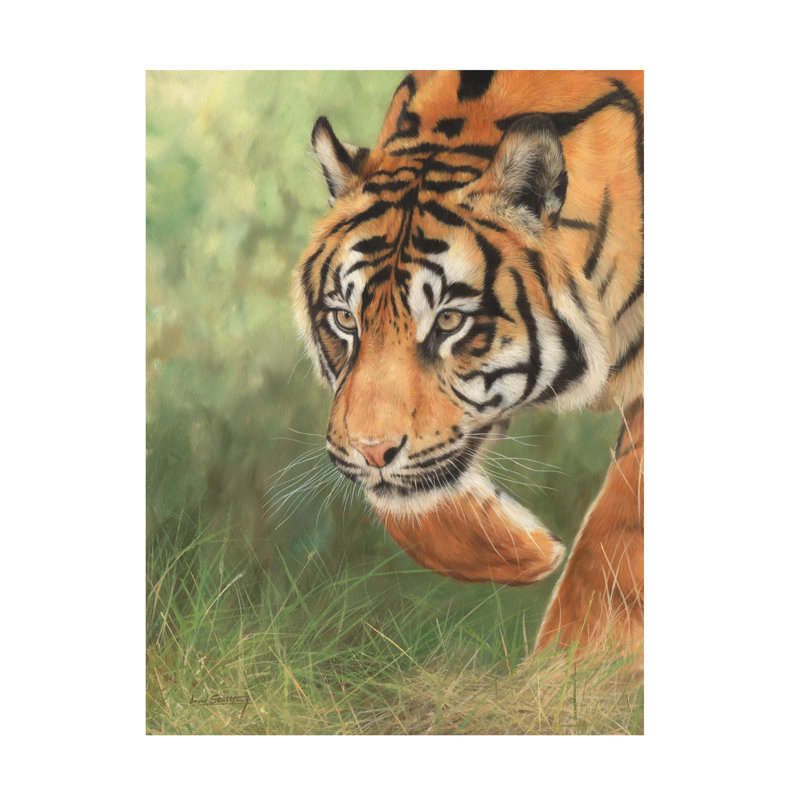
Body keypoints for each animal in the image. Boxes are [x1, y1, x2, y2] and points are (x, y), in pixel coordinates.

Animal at [292, 70, 643, 656]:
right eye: (345, 319)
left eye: (450, 321)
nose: (373, 452)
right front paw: (528, 553)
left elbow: (616, 539)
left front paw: (571, 667)